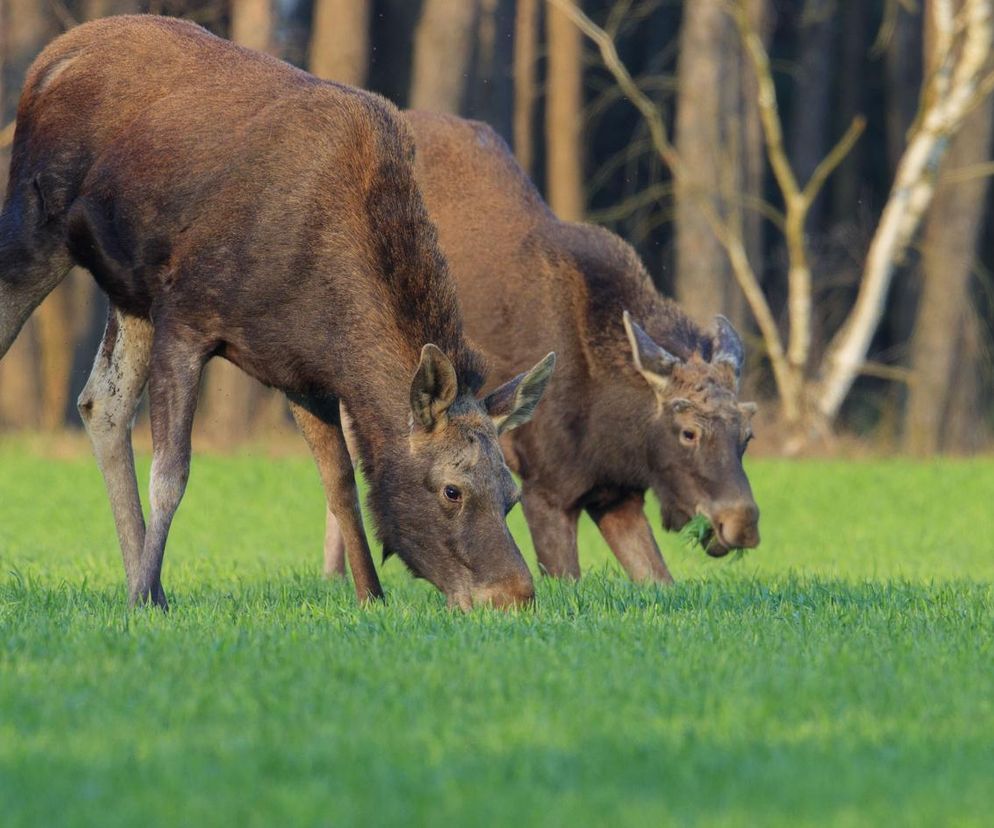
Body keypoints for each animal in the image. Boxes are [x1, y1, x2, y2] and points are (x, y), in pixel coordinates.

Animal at [0, 16, 556, 612]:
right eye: (453, 490)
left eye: (511, 494)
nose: (514, 595)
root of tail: (46, 61)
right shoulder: (186, 317)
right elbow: (172, 473)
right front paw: (145, 597)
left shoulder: (302, 372)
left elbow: (341, 484)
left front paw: (371, 596)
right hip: (34, 223)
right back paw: (144, 588)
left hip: (127, 291)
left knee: (101, 403)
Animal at [322, 111, 756, 584]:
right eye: (688, 431)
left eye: (747, 434)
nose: (742, 524)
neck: (615, 430)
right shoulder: (545, 486)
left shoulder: (613, 493)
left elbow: (657, 576)